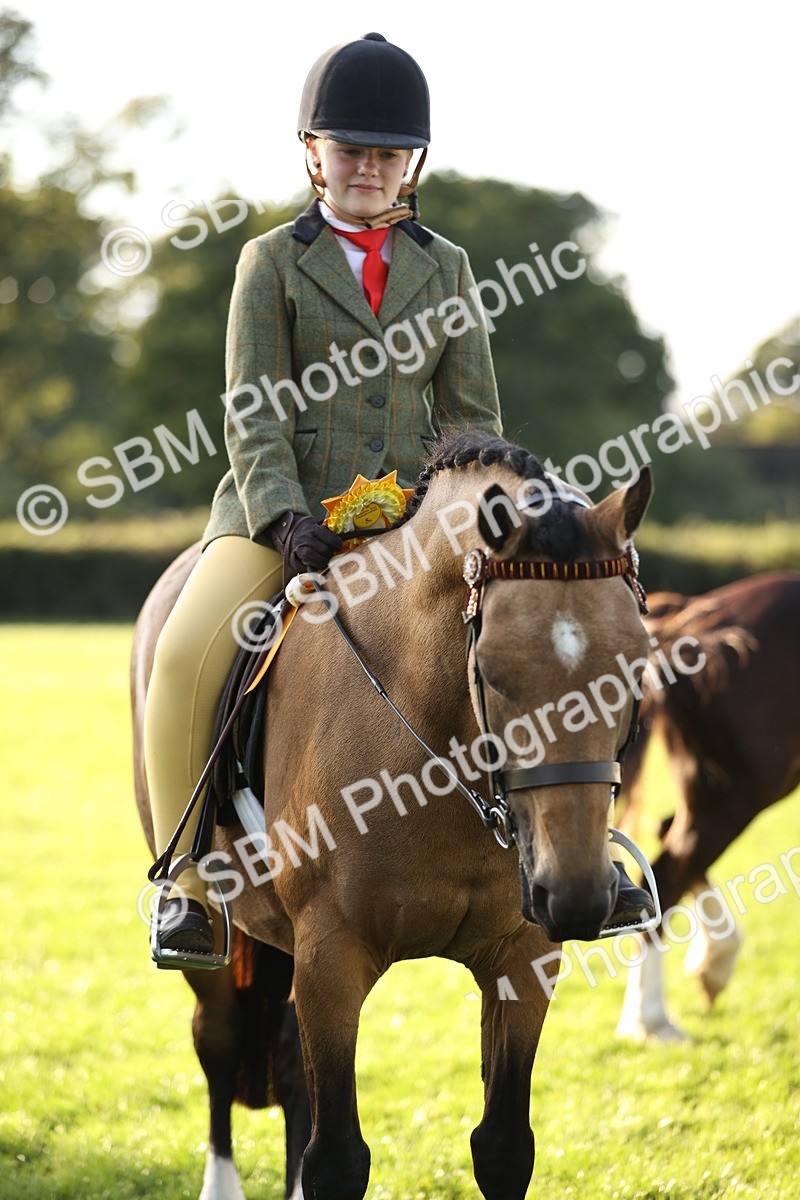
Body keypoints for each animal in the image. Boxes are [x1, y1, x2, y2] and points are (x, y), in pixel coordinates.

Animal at [131, 430, 654, 1200]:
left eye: (638, 667)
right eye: (492, 670)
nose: (578, 893)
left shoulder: (524, 956)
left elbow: (504, 1147)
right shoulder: (331, 956)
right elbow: (338, 1160)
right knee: (220, 1042)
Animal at [615, 571, 800, 1042]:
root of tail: (696, 618)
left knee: (669, 842)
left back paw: (713, 961)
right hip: (737, 793)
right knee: (666, 872)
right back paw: (648, 1021)